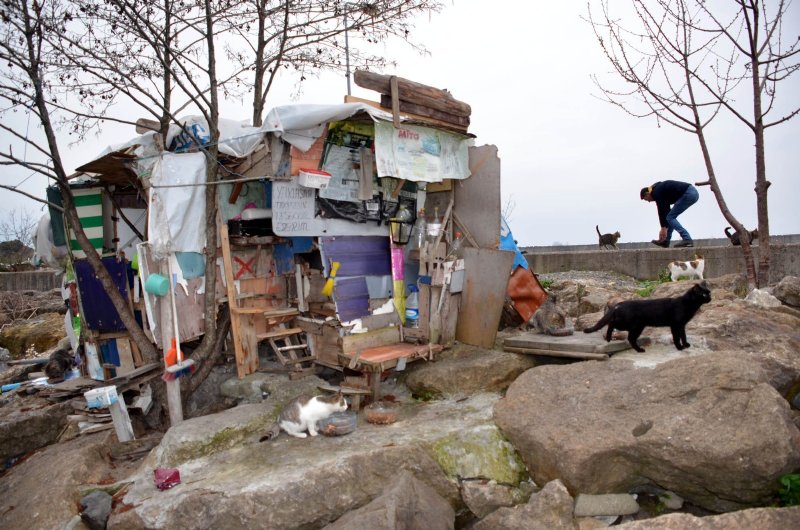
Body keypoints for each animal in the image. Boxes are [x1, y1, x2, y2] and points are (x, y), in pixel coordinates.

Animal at [580, 280, 712, 350]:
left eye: (709, 292)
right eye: (704, 294)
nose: (710, 298)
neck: (687, 304)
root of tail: (619, 303)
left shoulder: (682, 325)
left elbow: (683, 336)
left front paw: (686, 345)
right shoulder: (675, 325)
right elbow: (676, 337)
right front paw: (679, 347)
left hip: (634, 326)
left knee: (626, 335)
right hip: (630, 324)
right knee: (614, 325)